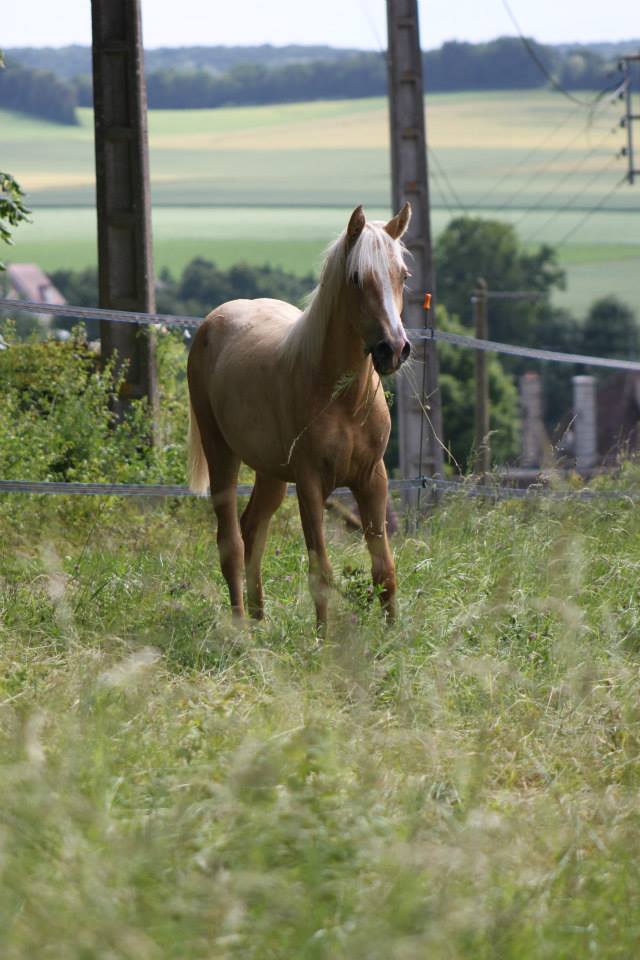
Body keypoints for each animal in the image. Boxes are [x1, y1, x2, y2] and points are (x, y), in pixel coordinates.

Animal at [188, 204, 412, 632]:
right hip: (221, 453)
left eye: (403, 276)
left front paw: (396, 636)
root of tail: (214, 320)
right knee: (231, 542)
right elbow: (320, 570)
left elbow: (385, 569)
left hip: (272, 474)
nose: (393, 349)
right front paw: (324, 641)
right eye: (356, 278)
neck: (343, 399)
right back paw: (241, 628)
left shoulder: (372, 479)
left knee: (253, 529)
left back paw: (260, 622)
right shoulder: (310, 484)